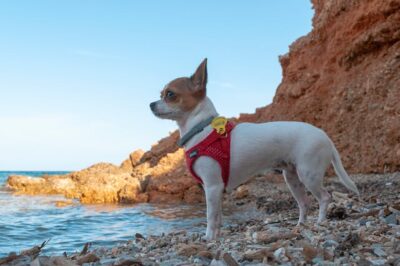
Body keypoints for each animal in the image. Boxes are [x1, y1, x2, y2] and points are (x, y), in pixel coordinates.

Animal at [150, 58, 360, 241]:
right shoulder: (215, 190)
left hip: (309, 175)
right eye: (161, 94)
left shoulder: (212, 186)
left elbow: (210, 216)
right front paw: (216, 236)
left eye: (170, 94)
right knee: (304, 203)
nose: (151, 104)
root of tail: (326, 137)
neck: (200, 128)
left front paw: (208, 237)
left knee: (325, 197)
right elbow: (218, 217)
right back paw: (300, 225)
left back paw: (320, 222)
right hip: (292, 178)